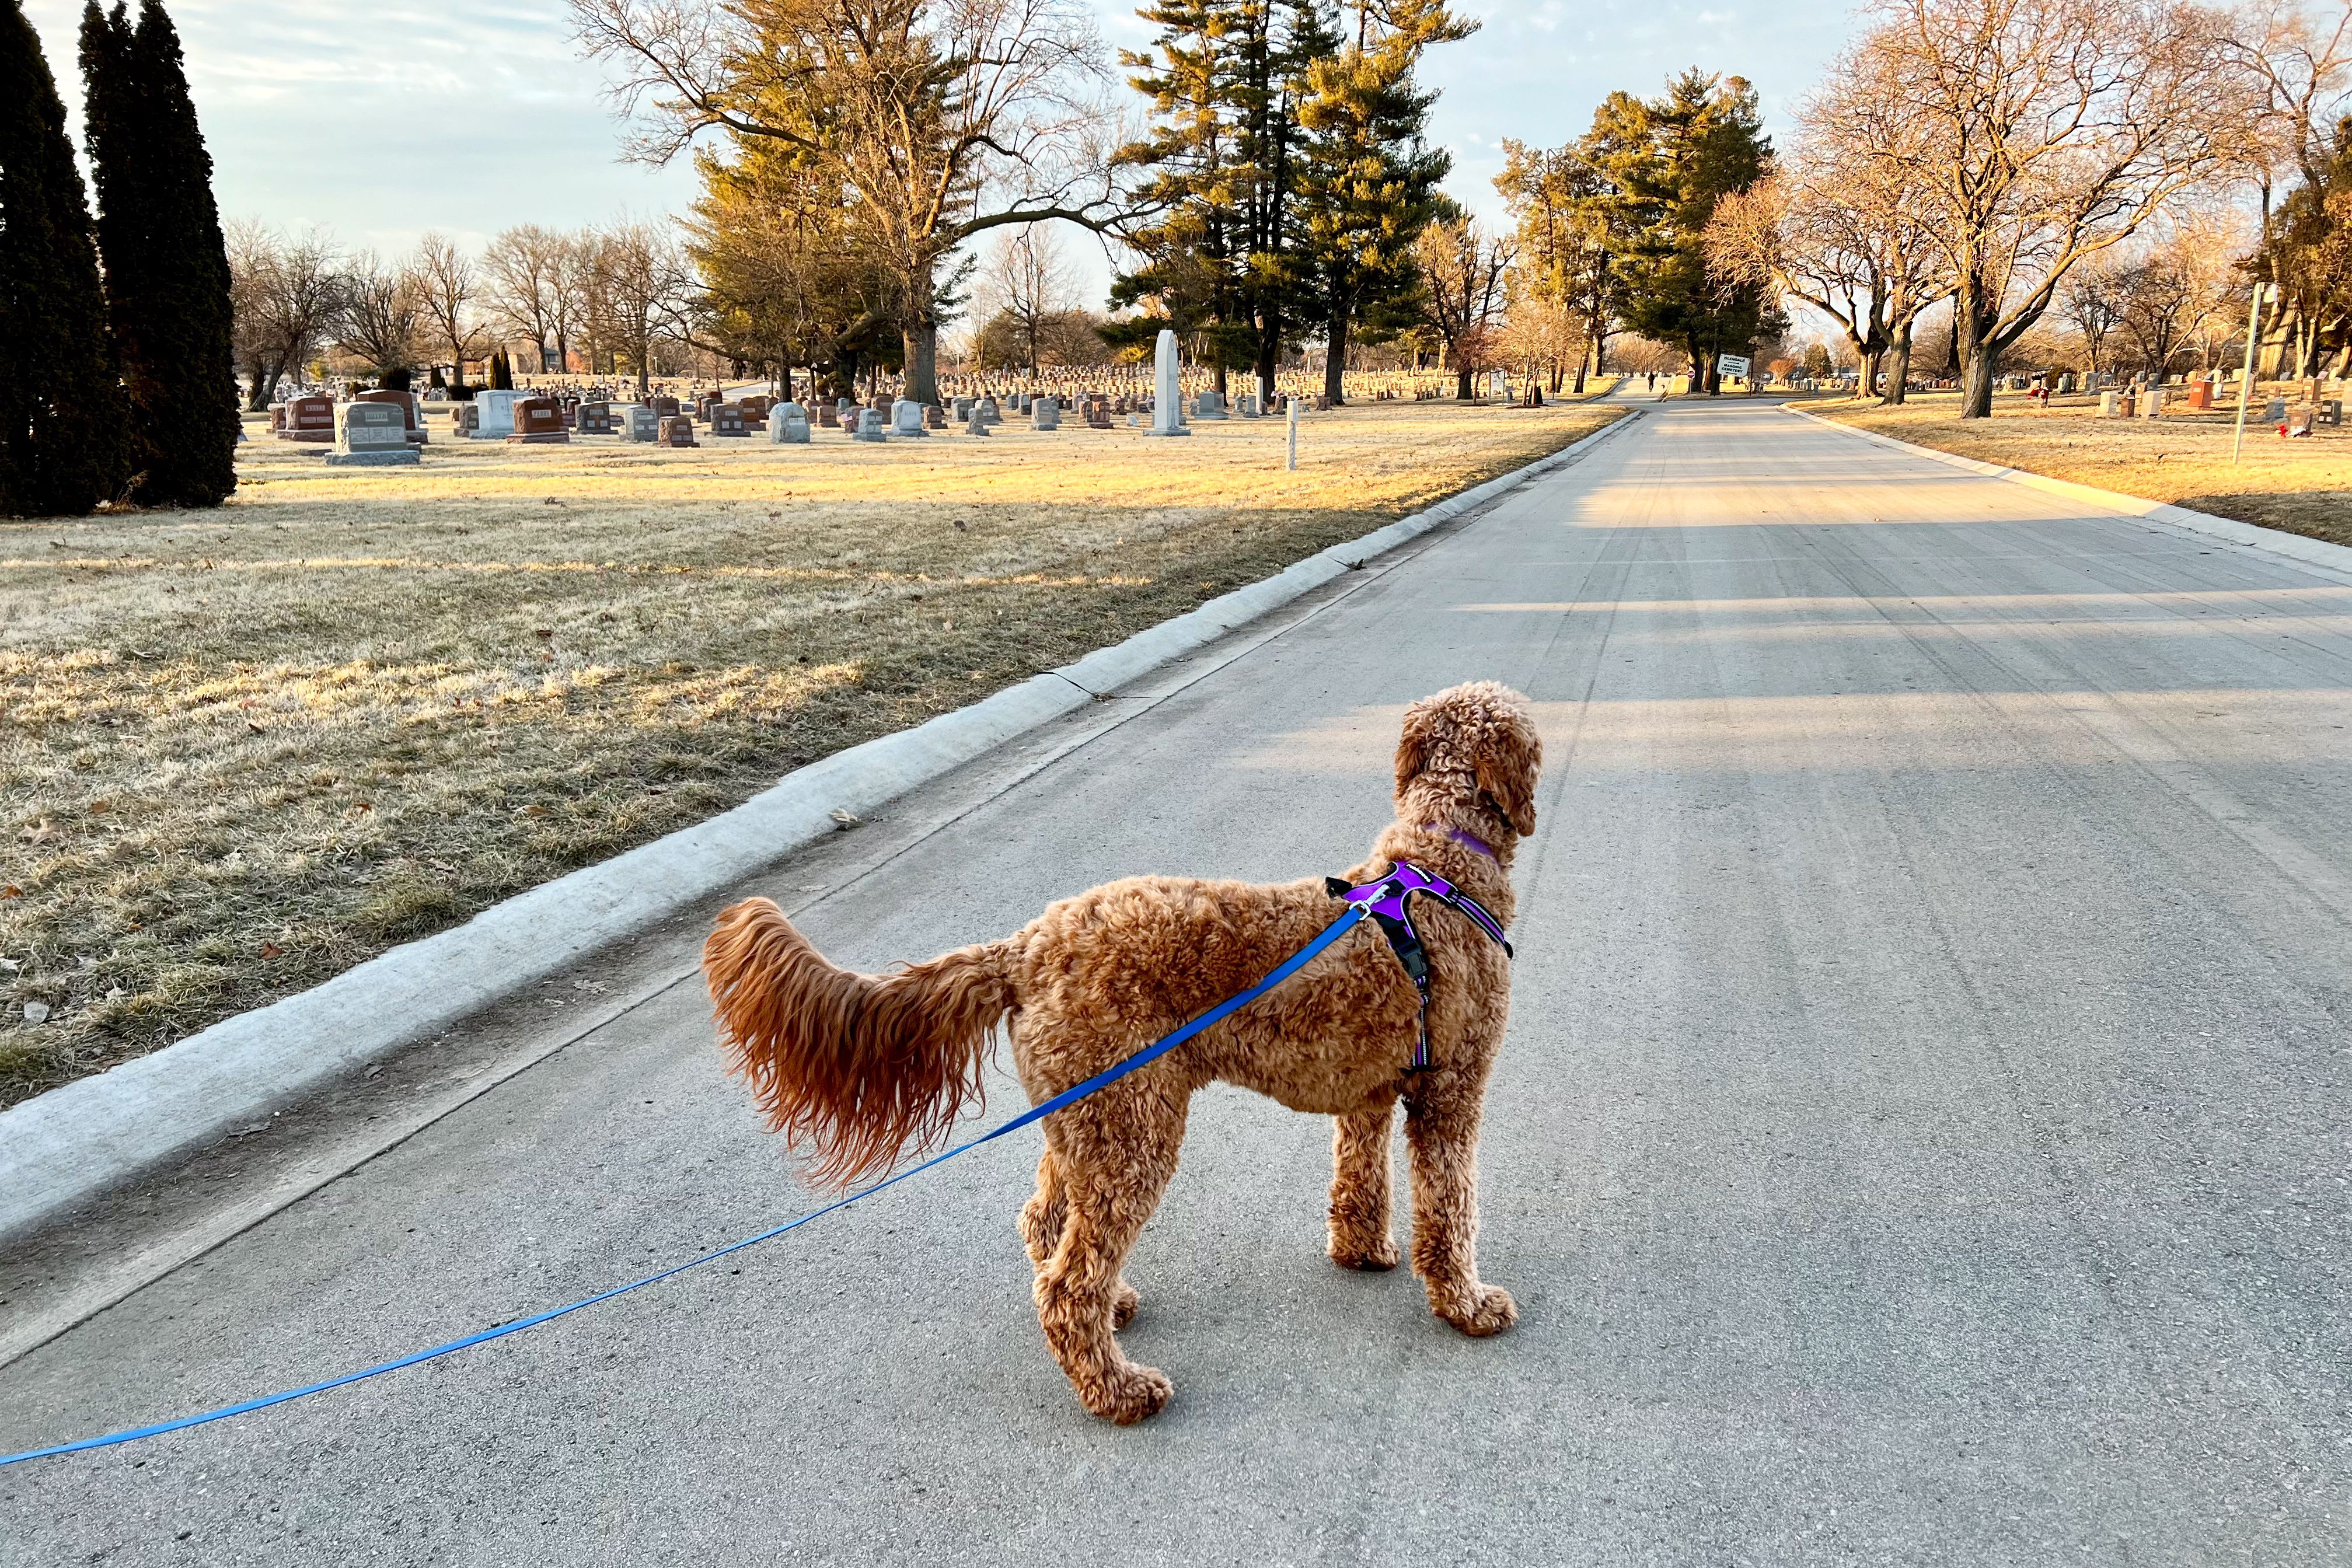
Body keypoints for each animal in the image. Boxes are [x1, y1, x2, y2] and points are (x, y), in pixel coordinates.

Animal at [700, 677, 1543, 1420]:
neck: (1437, 862)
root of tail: (1024, 949)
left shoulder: (1366, 1092)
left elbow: (1359, 1181)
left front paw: (1362, 1250)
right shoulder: (1452, 1090)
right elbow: (1450, 1209)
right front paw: (1466, 1303)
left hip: (1087, 1115)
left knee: (1045, 1223)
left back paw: (1117, 1310)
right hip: (1130, 1129)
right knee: (1068, 1284)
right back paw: (1118, 1388)